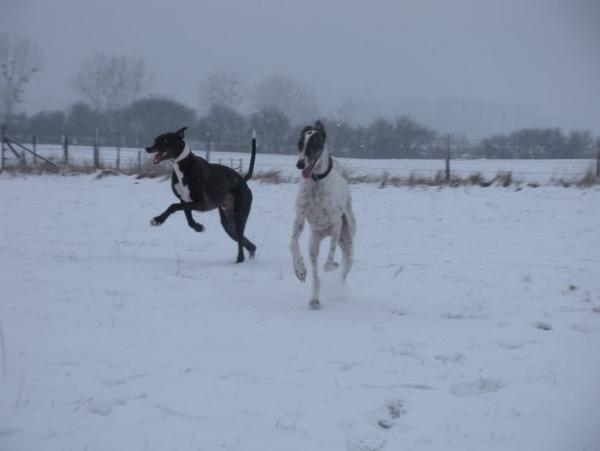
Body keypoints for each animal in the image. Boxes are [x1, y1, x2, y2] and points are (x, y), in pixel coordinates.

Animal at [148, 126, 258, 264]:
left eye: (165, 140)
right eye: (155, 139)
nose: (148, 148)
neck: (183, 164)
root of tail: (243, 180)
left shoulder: (201, 203)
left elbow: (172, 206)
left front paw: (158, 220)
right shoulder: (185, 201)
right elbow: (188, 219)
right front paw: (198, 227)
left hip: (239, 216)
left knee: (240, 239)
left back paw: (239, 260)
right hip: (228, 222)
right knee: (245, 241)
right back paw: (251, 253)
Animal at [290, 121, 356, 310]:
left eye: (313, 145)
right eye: (299, 144)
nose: (300, 164)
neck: (316, 181)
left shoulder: (335, 224)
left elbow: (329, 260)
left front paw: (332, 265)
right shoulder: (299, 219)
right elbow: (292, 244)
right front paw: (299, 269)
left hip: (348, 245)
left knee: (343, 272)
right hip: (314, 244)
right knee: (316, 276)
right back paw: (314, 299)